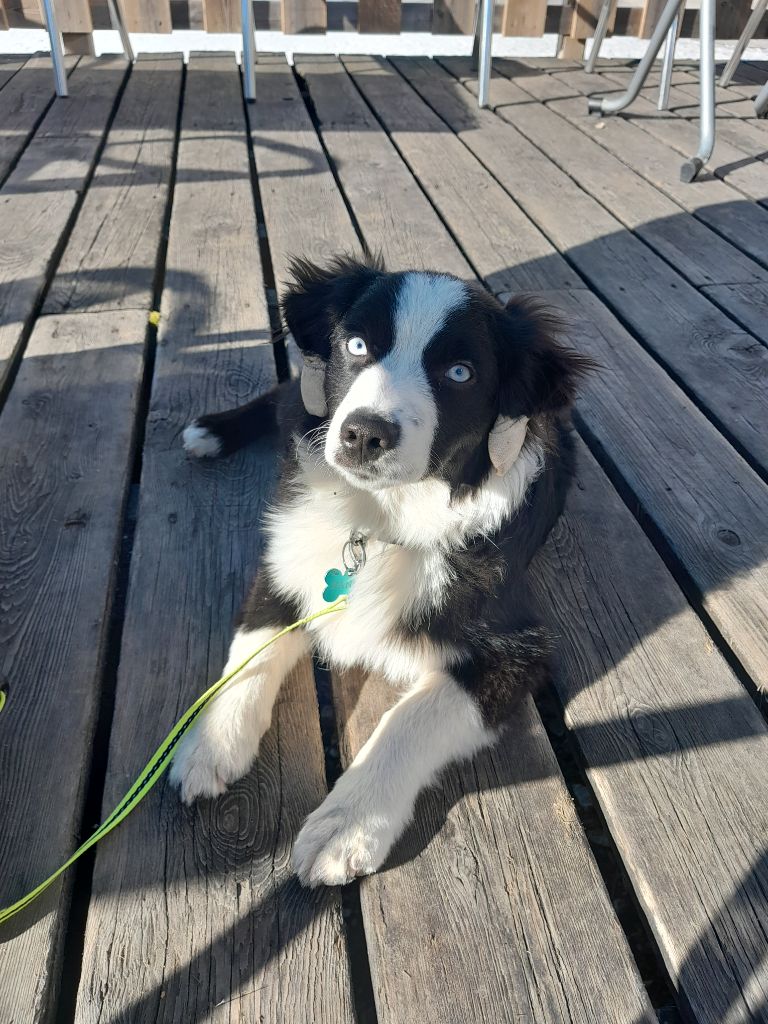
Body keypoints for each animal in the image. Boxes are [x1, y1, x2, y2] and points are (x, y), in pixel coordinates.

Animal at [169, 253, 589, 888]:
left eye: (460, 373)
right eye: (358, 344)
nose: (365, 433)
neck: (381, 519)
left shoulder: (516, 649)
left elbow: (409, 718)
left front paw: (346, 826)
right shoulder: (286, 561)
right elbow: (251, 651)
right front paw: (210, 743)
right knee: (285, 398)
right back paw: (213, 430)